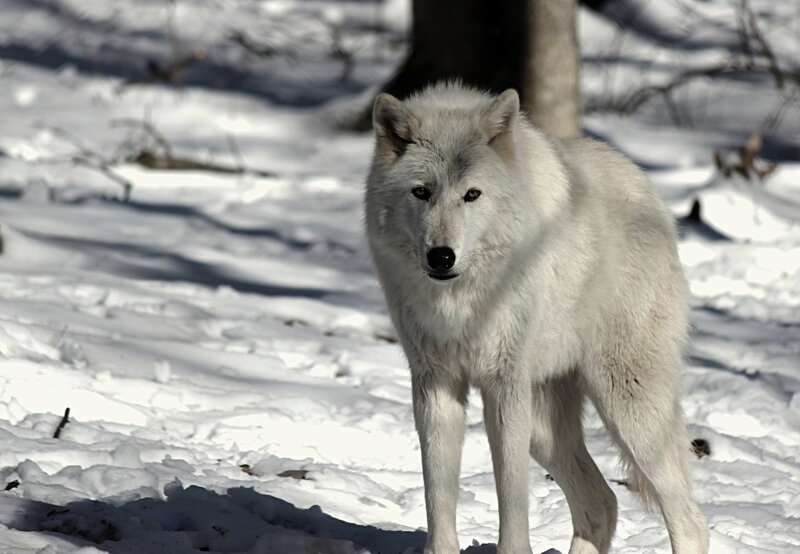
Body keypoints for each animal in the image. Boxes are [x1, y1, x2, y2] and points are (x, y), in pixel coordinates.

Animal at [364, 83, 708, 554]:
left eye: (472, 194)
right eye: (421, 192)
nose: (441, 256)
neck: (461, 302)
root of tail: (648, 191)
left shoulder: (504, 386)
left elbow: (512, 499)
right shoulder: (436, 385)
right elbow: (438, 496)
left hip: (627, 406)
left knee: (689, 519)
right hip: (546, 428)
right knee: (602, 503)